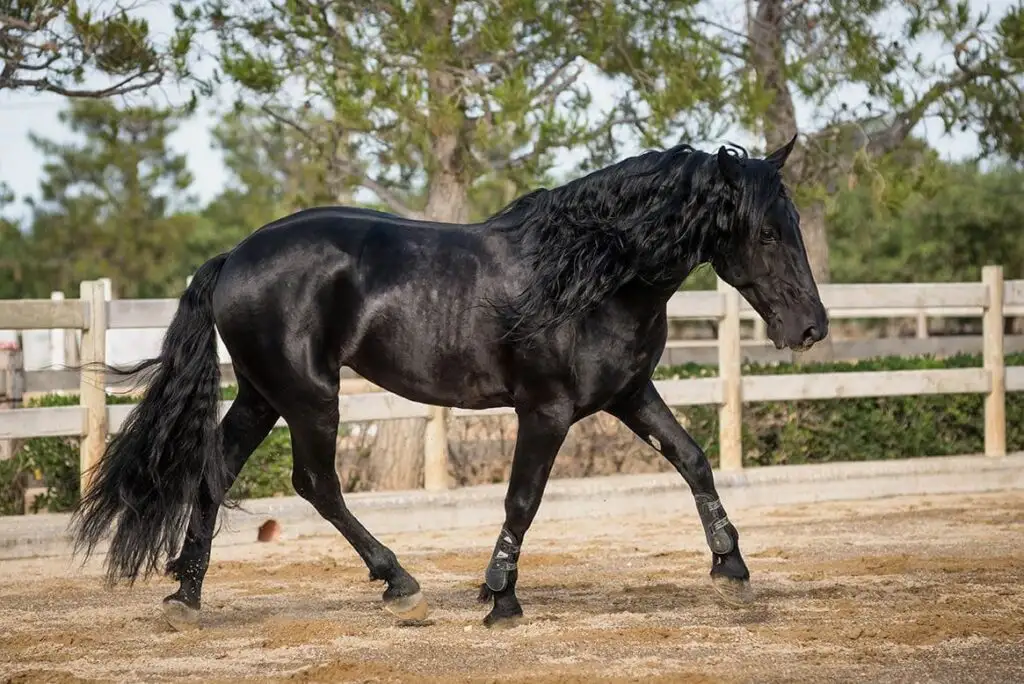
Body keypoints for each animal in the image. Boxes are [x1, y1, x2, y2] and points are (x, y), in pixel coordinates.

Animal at [70, 137, 823, 630]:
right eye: (764, 231)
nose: (812, 327)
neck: (591, 274)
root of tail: (234, 257)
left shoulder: (630, 395)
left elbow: (693, 460)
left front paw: (732, 571)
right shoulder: (545, 411)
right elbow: (523, 500)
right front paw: (500, 598)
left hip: (262, 396)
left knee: (216, 471)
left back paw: (186, 598)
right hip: (309, 397)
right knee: (316, 484)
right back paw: (399, 584)